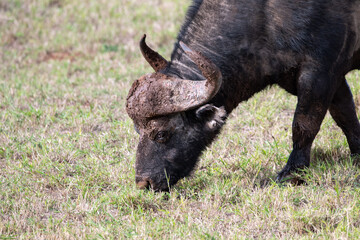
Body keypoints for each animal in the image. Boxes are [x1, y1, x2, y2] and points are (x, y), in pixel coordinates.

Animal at [124, 0, 360, 191]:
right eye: (137, 130)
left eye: (162, 134)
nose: (144, 183)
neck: (264, 19)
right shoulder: (330, 79)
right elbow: (346, 116)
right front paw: (357, 155)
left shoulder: (319, 73)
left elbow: (304, 125)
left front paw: (293, 173)